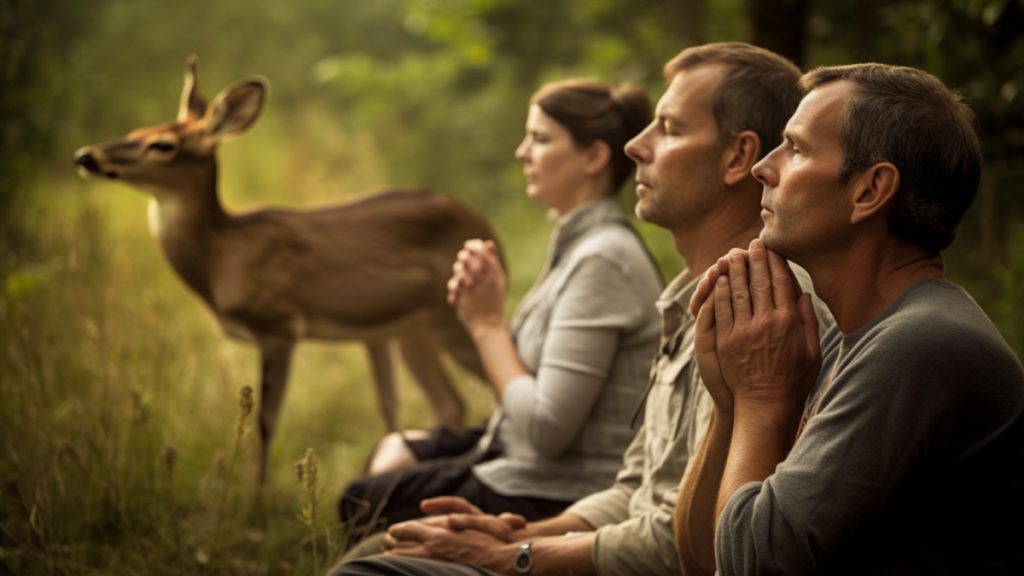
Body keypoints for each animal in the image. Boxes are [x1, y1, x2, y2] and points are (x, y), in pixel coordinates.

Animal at [74, 56, 497, 481]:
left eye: (162, 144)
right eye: (135, 131)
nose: (86, 156)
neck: (224, 258)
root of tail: (485, 226)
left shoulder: (278, 324)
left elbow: (266, 422)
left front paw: (255, 495)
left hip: (449, 319)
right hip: (409, 331)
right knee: (449, 402)